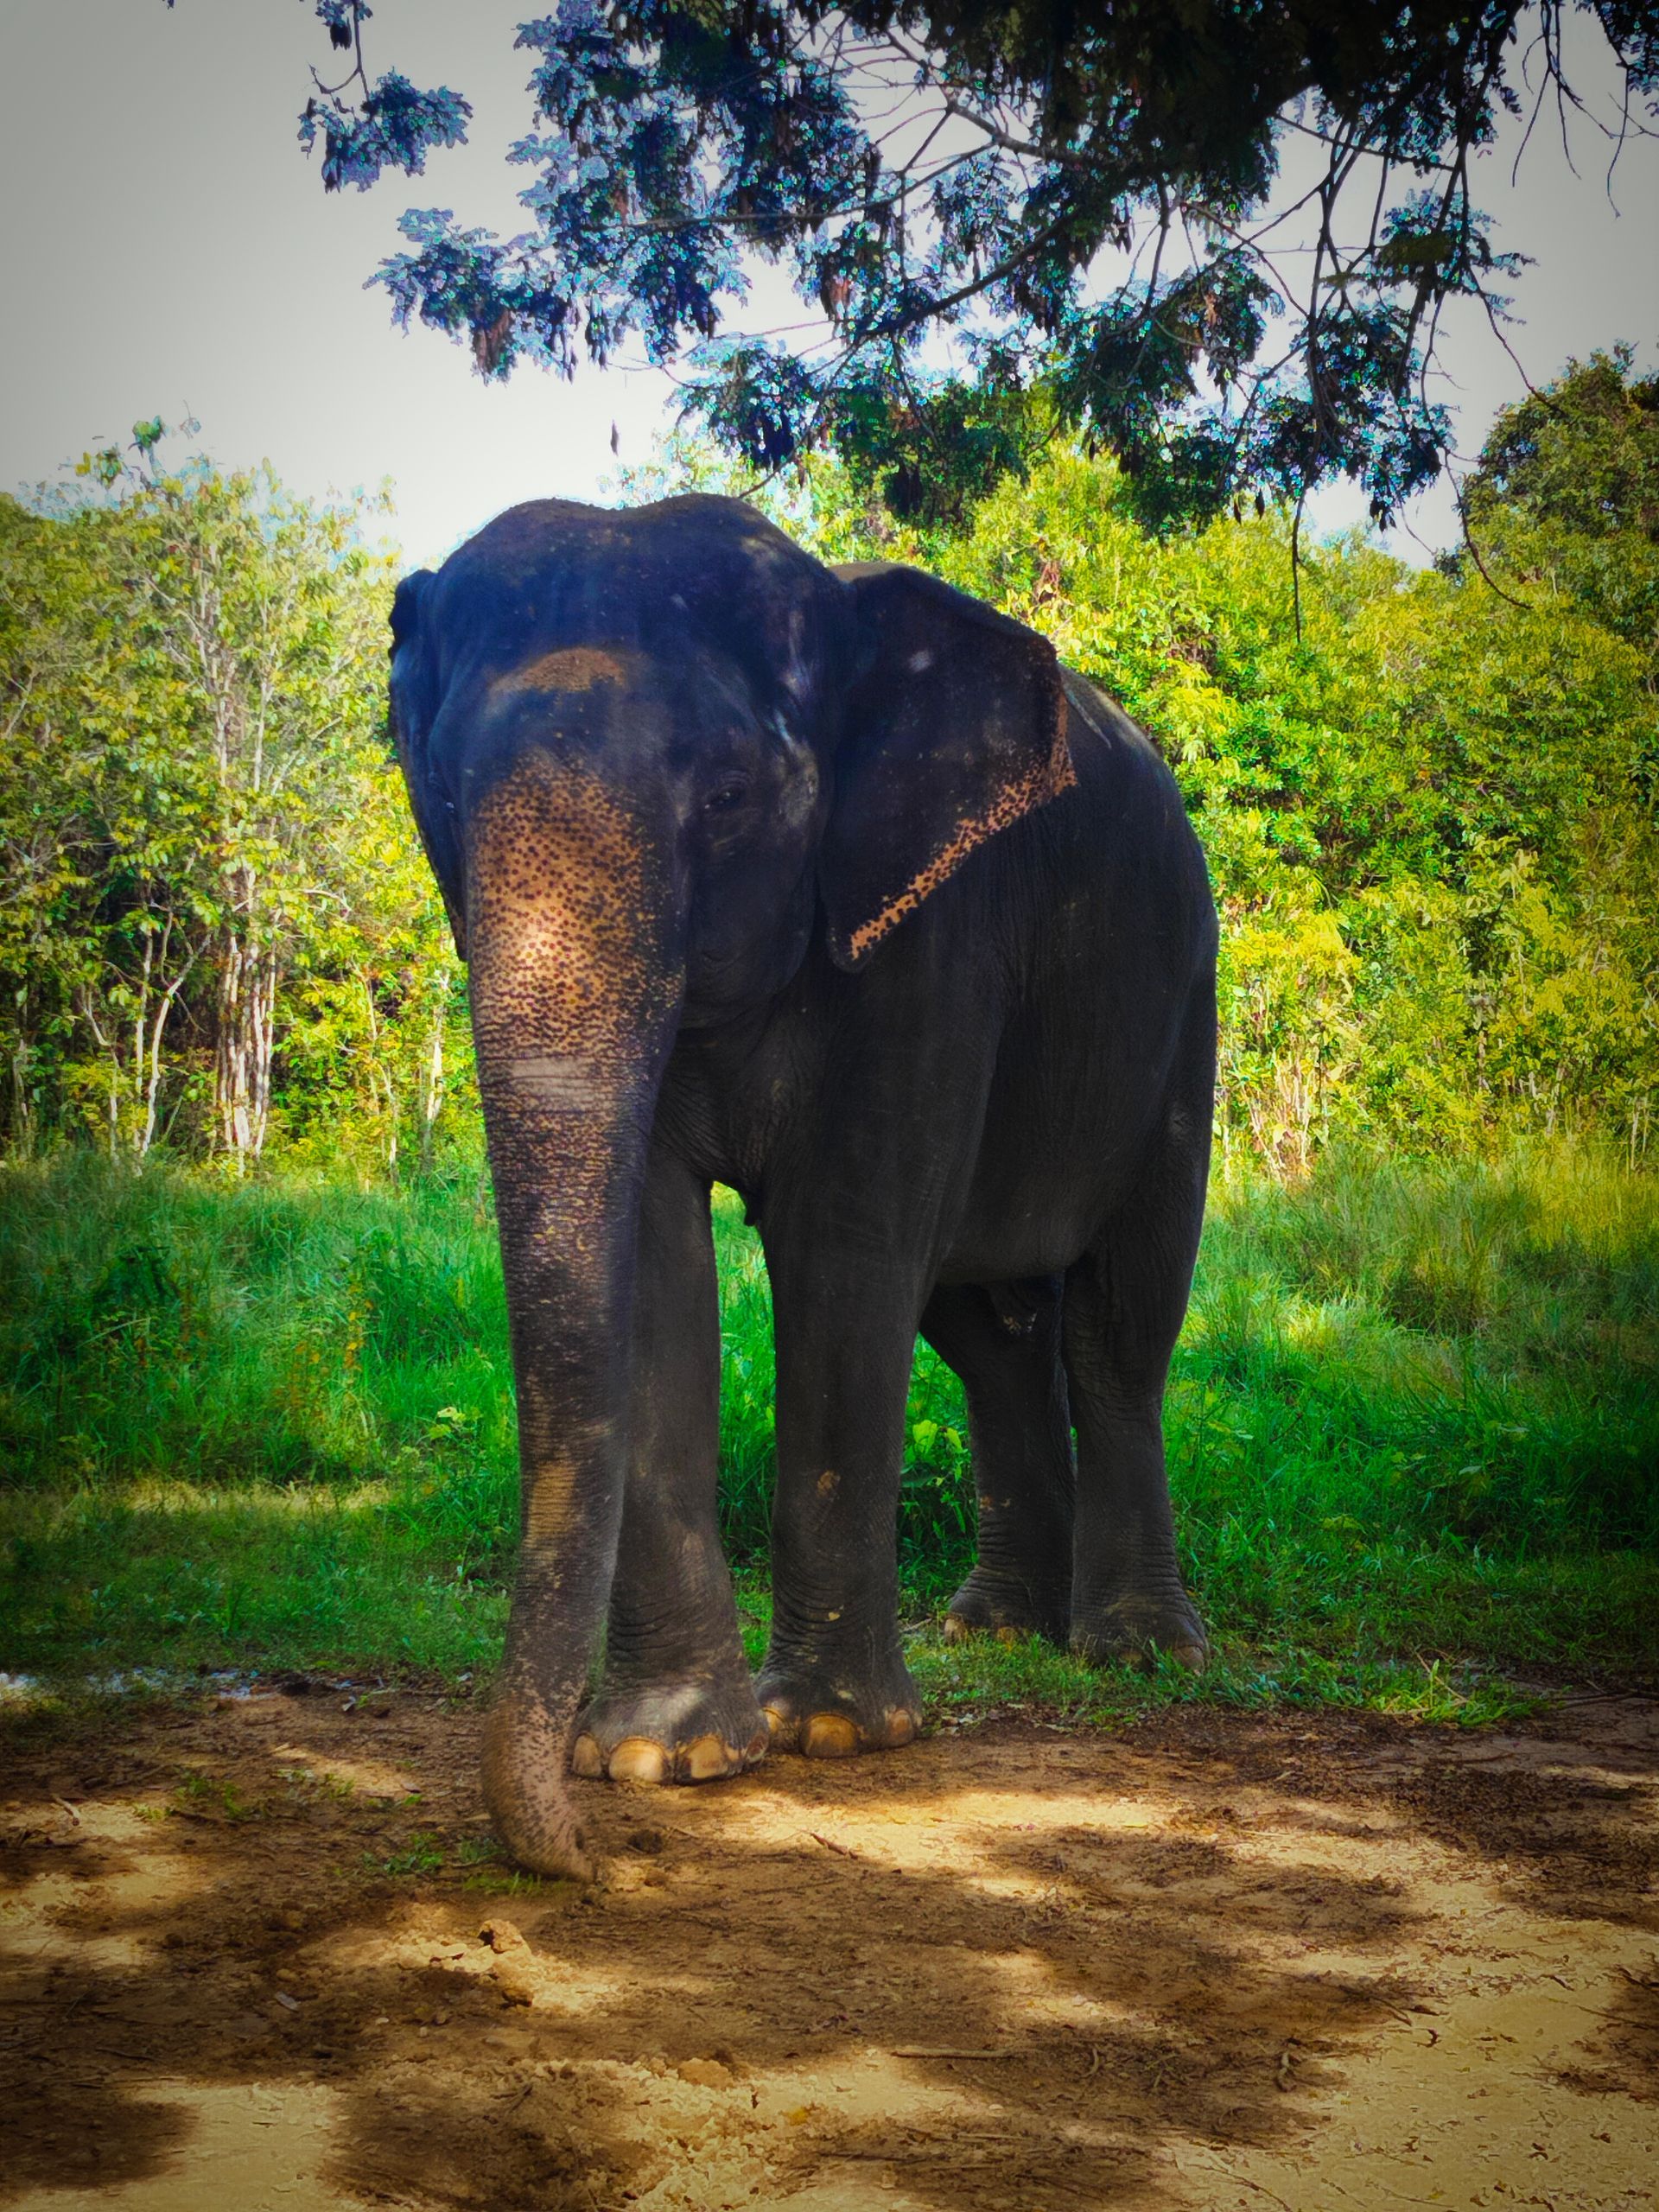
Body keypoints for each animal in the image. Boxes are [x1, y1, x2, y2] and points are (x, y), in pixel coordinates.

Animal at [389, 493, 1217, 1879]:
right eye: (444, 791)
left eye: (728, 794)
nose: (584, 1858)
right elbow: (659, 1263)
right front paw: (664, 1758)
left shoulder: (928, 934)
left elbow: (845, 1248)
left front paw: (831, 1737)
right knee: (989, 1331)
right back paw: (997, 1630)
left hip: (1182, 1010)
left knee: (1119, 1325)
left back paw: (1137, 1652)